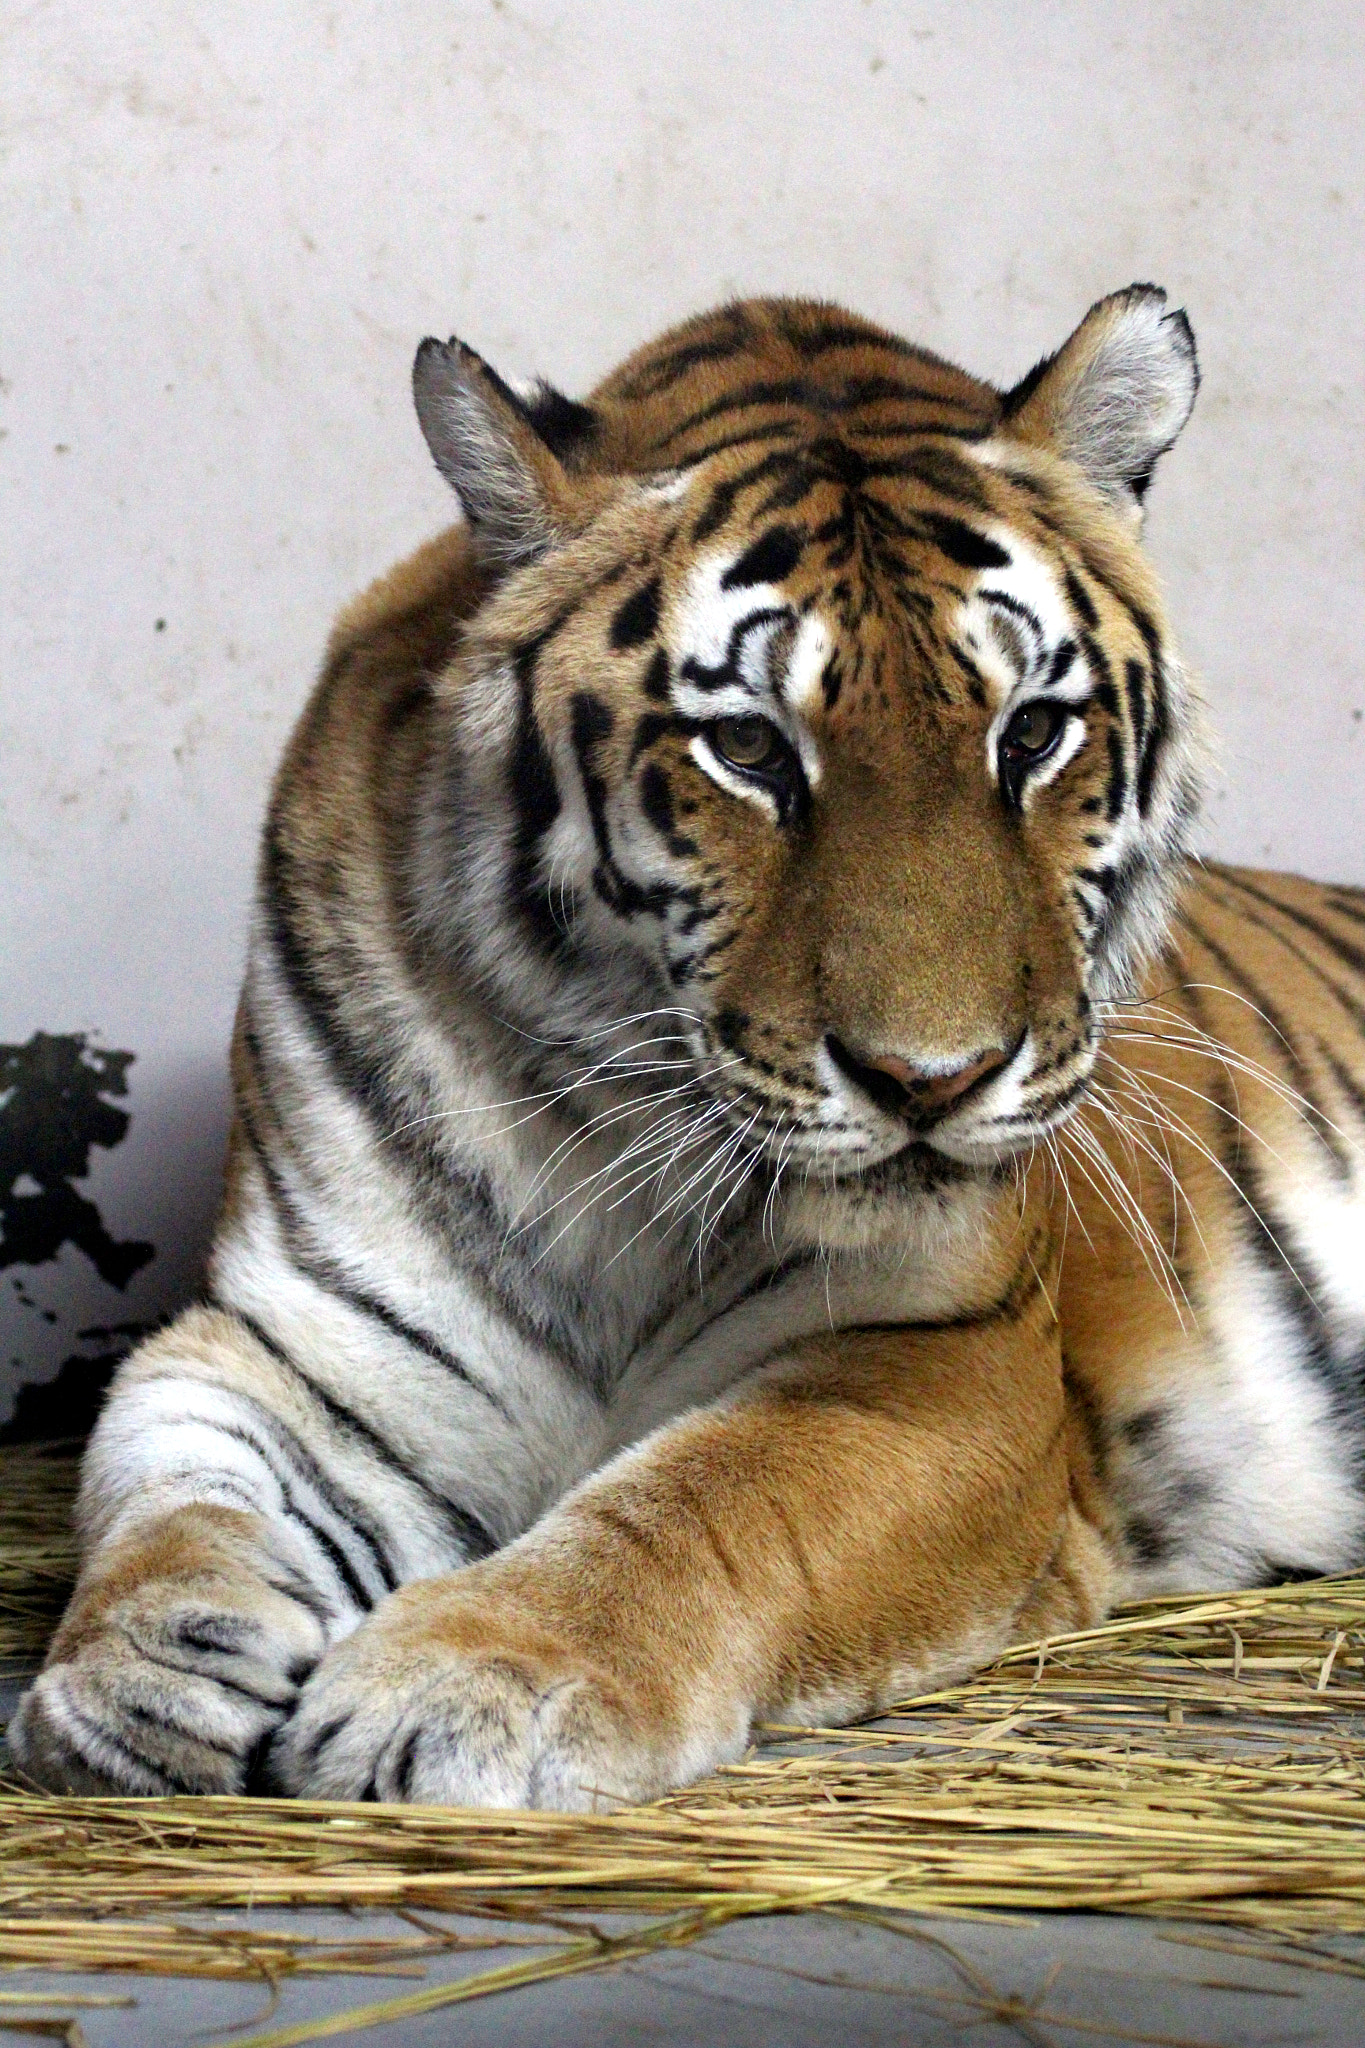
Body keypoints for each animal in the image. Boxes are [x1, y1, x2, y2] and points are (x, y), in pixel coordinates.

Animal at [11, 285, 1365, 1809]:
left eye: (1031, 733)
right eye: (750, 750)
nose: (934, 1081)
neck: (605, 1141)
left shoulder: (939, 1365)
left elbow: (711, 1503)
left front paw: (462, 1684)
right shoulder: (287, 1339)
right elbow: (171, 1486)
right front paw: (142, 1673)